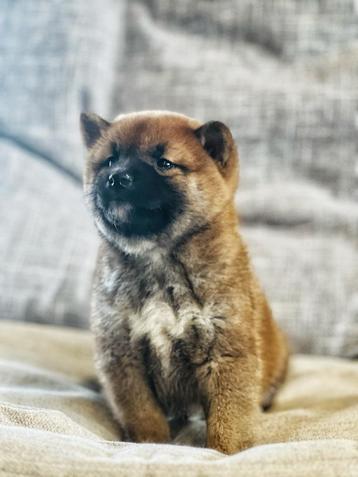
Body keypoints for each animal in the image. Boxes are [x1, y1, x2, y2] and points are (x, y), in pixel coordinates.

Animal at [80, 109, 288, 452]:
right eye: (110, 160)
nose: (116, 178)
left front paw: (225, 452)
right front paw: (150, 444)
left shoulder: (226, 353)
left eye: (164, 163)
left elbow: (228, 419)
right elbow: (143, 415)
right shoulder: (122, 356)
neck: (158, 260)